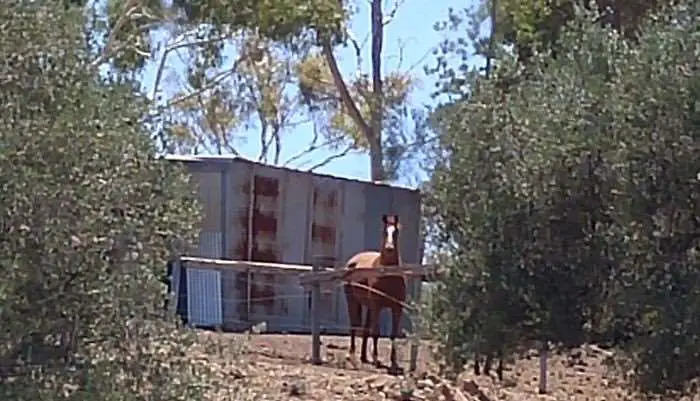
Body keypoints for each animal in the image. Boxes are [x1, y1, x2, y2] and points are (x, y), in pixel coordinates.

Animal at [344, 214, 408, 374]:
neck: (388, 276)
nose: (389, 248)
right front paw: (376, 360)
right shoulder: (377, 306)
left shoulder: (397, 308)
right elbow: (376, 332)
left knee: (365, 329)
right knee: (354, 325)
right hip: (353, 301)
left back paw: (363, 357)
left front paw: (393, 363)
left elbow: (393, 334)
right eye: (385, 232)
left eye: (396, 232)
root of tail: (352, 261)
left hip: (368, 306)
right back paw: (352, 355)